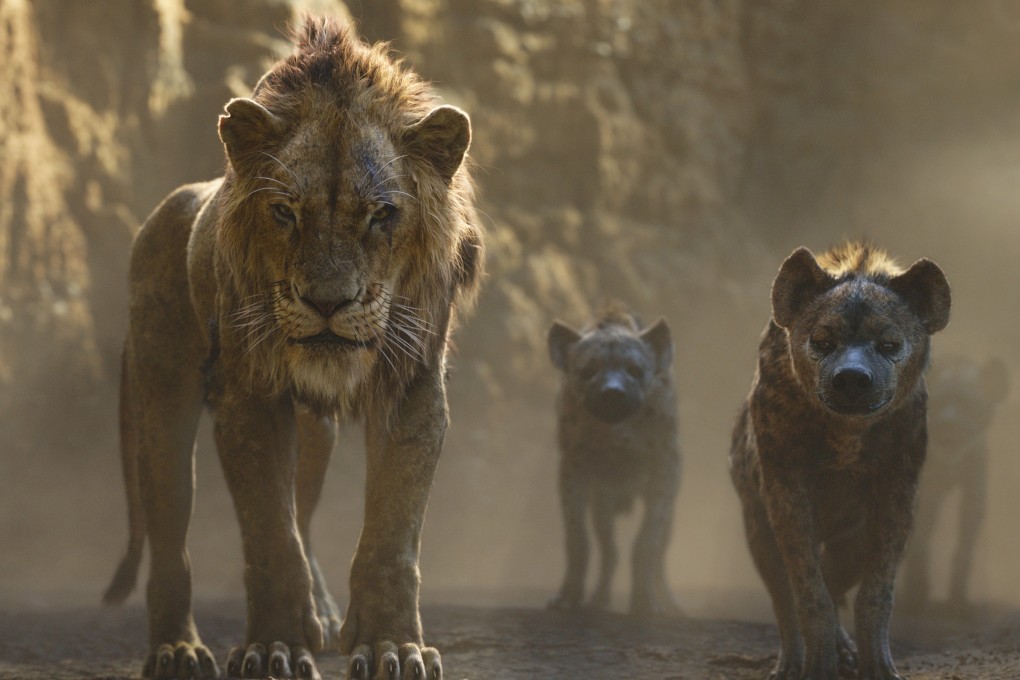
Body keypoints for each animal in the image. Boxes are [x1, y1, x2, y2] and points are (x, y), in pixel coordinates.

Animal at [103, 16, 483, 680]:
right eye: (284, 212)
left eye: (382, 215)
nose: (328, 302)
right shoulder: (250, 397)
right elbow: (270, 538)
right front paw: (272, 649)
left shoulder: (412, 388)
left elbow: (390, 538)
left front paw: (390, 647)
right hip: (161, 404)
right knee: (171, 539)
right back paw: (177, 649)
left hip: (314, 435)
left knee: (303, 512)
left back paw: (324, 614)